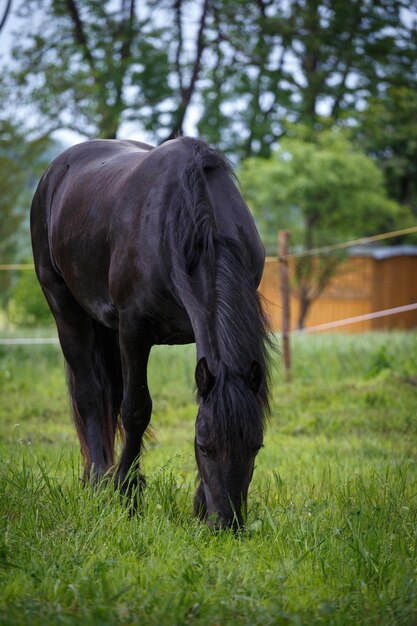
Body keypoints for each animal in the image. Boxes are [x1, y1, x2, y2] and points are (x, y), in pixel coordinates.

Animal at [30, 138, 270, 528]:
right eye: (204, 447)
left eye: (255, 446)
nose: (226, 524)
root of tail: (56, 170)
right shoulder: (134, 330)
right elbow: (135, 410)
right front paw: (127, 497)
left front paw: (198, 505)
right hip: (65, 307)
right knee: (90, 395)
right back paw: (98, 483)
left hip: (104, 325)